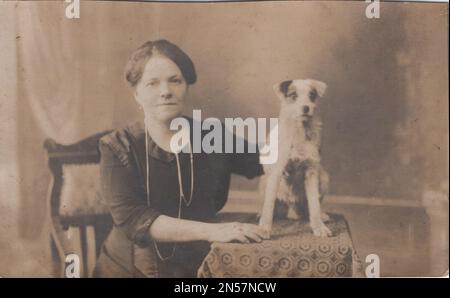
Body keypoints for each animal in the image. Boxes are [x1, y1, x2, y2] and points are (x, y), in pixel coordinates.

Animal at [260, 79, 330, 237]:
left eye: (312, 95)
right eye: (293, 95)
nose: (306, 108)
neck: (299, 130)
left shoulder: (312, 171)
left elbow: (314, 204)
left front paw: (319, 227)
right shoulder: (277, 171)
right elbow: (268, 204)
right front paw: (264, 228)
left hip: (324, 178)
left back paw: (321, 215)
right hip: (265, 181)